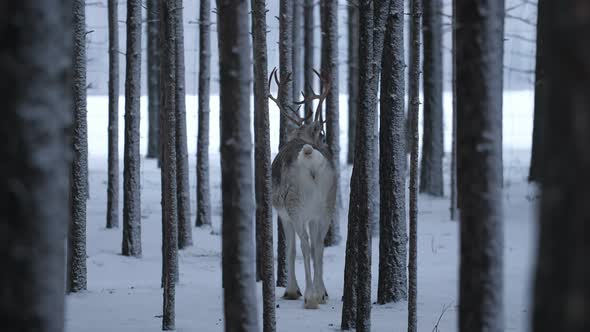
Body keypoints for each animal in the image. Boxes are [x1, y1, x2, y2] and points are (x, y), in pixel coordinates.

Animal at [270, 68, 338, 310]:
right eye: (323, 134)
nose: (327, 145)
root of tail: (309, 155)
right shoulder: (314, 215)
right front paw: (324, 292)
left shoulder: (283, 214)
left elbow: (290, 250)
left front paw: (292, 290)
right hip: (328, 204)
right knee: (318, 245)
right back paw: (319, 294)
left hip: (295, 206)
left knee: (306, 245)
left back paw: (310, 297)